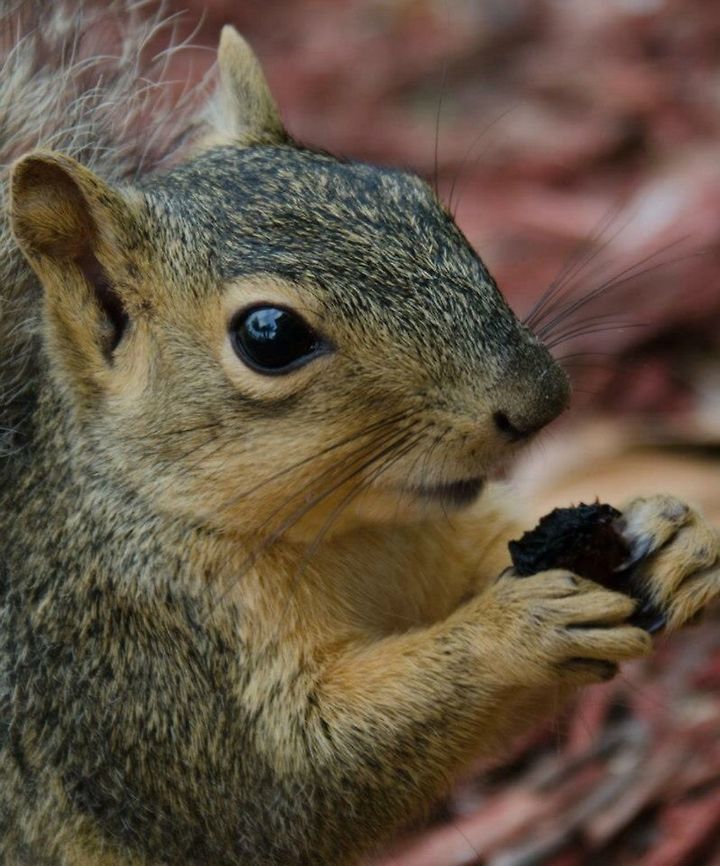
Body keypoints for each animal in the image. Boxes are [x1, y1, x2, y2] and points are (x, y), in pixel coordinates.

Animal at [1, 2, 719, 865]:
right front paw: (511, 630)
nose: (541, 400)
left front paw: (677, 535)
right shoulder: (137, 675)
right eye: (269, 336)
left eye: (418, 198)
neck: (345, 538)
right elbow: (298, 787)